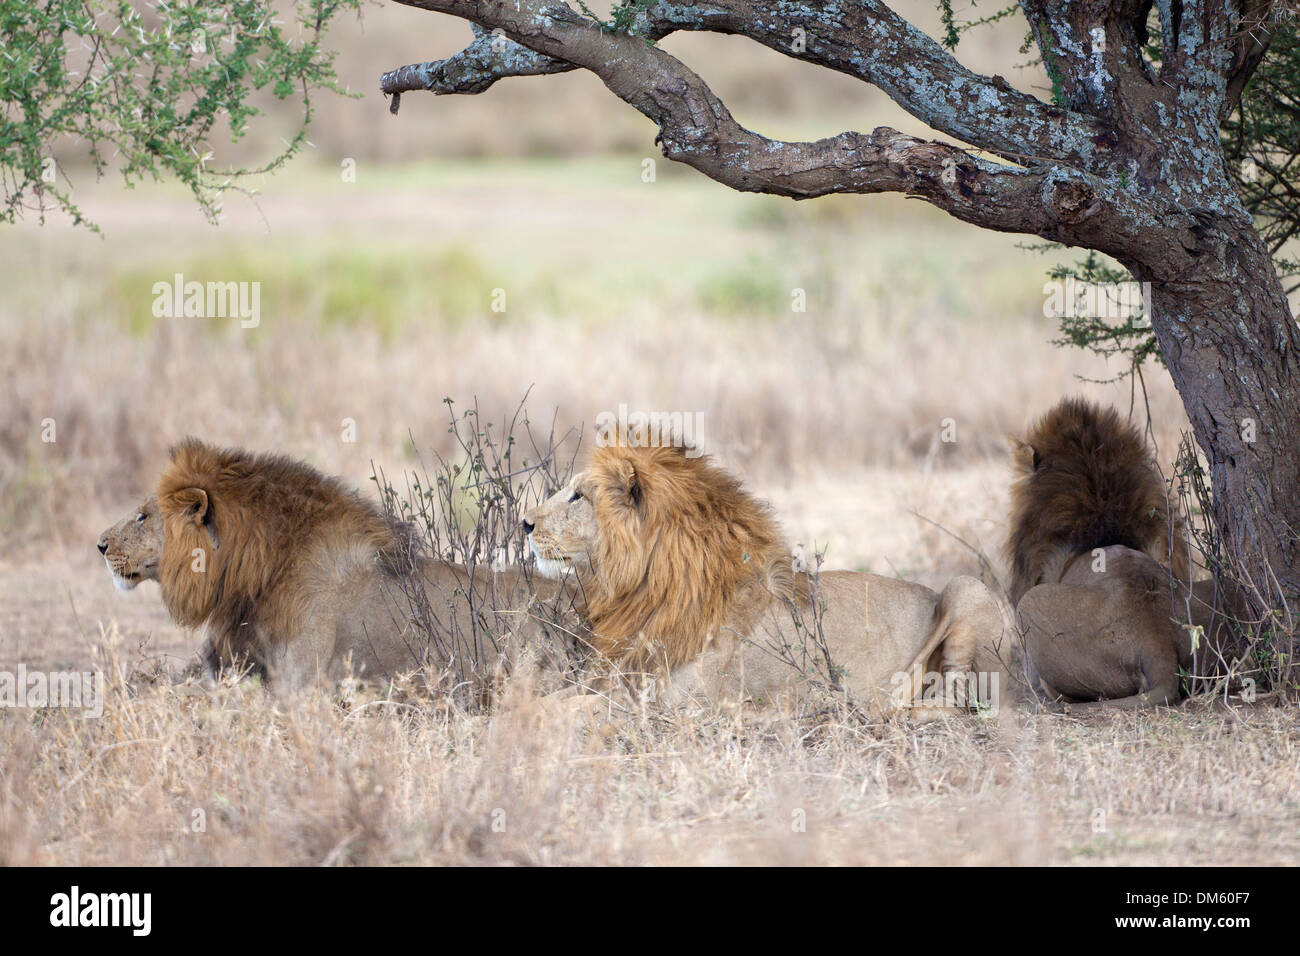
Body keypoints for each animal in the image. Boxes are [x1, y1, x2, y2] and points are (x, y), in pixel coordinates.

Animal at [521, 442, 1017, 716]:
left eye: (578, 496)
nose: (524, 524)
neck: (641, 588)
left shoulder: (674, 700)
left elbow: (573, 711)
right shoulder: (619, 674)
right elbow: (547, 701)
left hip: (966, 589)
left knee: (959, 705)